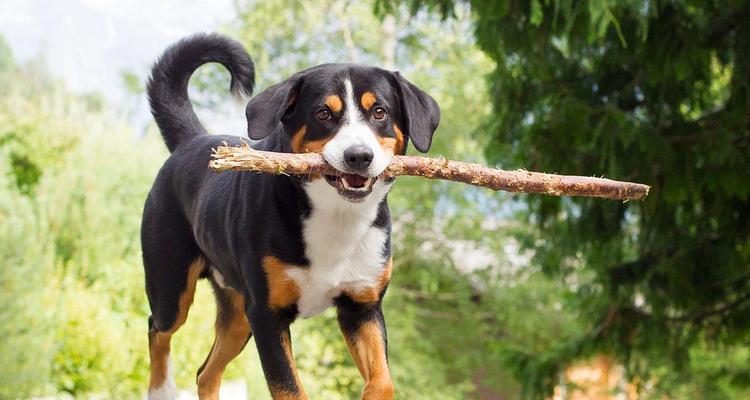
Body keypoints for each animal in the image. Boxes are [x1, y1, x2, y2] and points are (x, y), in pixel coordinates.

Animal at [142, 34, 440, 400]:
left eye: (379, 112)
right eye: (323, 113)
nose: (358, 156)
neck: (336, 217)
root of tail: (193, 140)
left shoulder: (362, 307)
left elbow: (383, 381)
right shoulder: (267, 316)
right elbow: (289, 388)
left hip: (238, 316)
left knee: (205, 373)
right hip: (172, 286)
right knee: (158, 330)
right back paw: (162, 388)